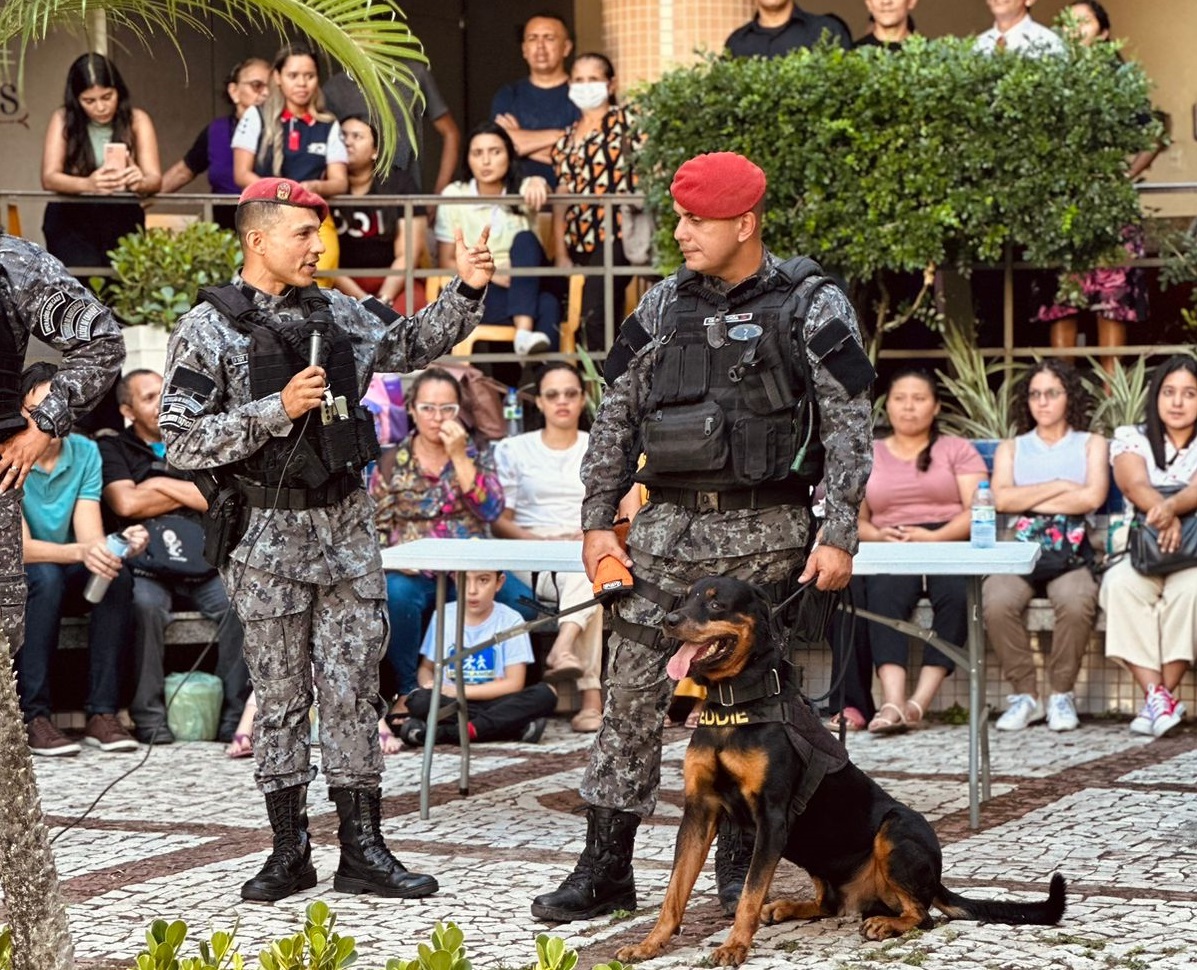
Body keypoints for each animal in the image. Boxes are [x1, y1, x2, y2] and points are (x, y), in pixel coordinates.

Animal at [617, 577, 1067, 962]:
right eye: (684, 598)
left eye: (715, 603)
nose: (669, 622)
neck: (734, 705)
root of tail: (936, 878)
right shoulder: (699, 812)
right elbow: (676, 892)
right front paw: (648, 945)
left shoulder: (771, 818)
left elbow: (748, 894)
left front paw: (734, 947)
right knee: (832, 904)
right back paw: (786, 907)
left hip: (895, 830)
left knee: (923, 915)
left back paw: (884, 923)